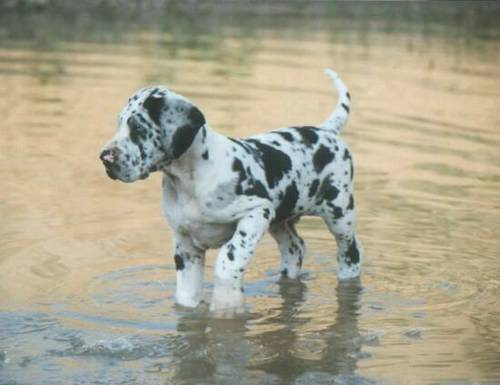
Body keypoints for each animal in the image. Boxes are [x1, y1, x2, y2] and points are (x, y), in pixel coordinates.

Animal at [99, 69, 362, 314]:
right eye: (119, 124)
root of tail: (326, 130)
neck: (189, 181)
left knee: (349, 253)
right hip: (281, 222)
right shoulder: (186, 245)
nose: (104, 158)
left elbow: (229, 259)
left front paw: (227, 305)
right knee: (295, 248)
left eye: (137, 128)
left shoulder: (257, 212)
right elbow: (186, 294)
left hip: (340, 215)